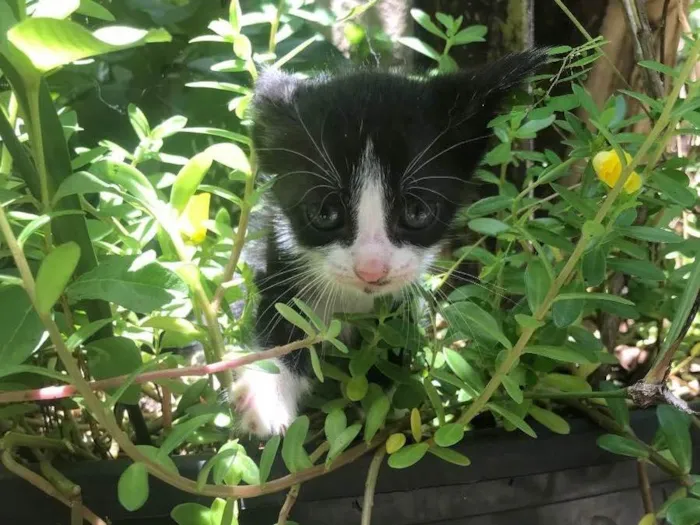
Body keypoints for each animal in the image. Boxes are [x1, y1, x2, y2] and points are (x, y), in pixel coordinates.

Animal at [230, 49, 548, 436]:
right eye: (324, 212)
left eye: (417, 210)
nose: (371, 270)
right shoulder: (277, 247)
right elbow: (282, 307)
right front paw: (268, 389)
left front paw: (383, 398)